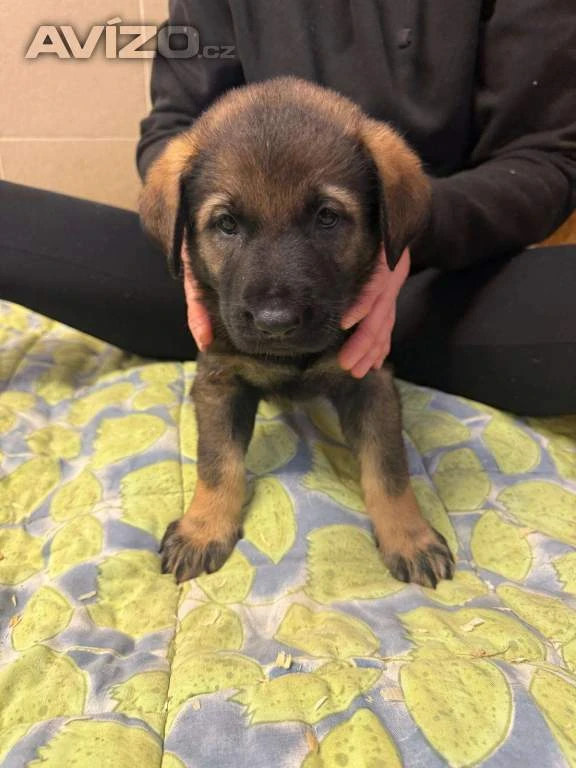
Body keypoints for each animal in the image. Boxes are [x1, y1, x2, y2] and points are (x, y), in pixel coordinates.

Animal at [139, 77, 454, 588]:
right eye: (226, 224)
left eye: (326, 217)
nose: (275, 323)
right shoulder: (220, 380)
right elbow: (217, 463)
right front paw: (203, 528)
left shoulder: (371, 380)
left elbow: (388, 469)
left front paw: (410, 536)